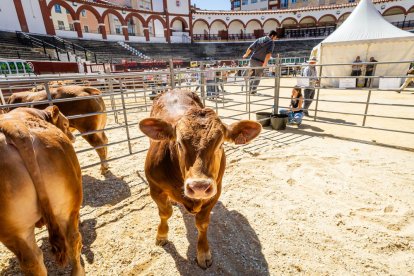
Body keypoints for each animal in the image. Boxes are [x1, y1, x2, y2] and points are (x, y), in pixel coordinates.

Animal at [140, 90, 262, 268]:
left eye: (220, 144)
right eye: (179, 143)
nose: (199, 186)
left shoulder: (215, 191)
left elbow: (202, 223)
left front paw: (203, 253)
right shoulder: (155, 188)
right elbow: (165, 212)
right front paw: (161, 235)